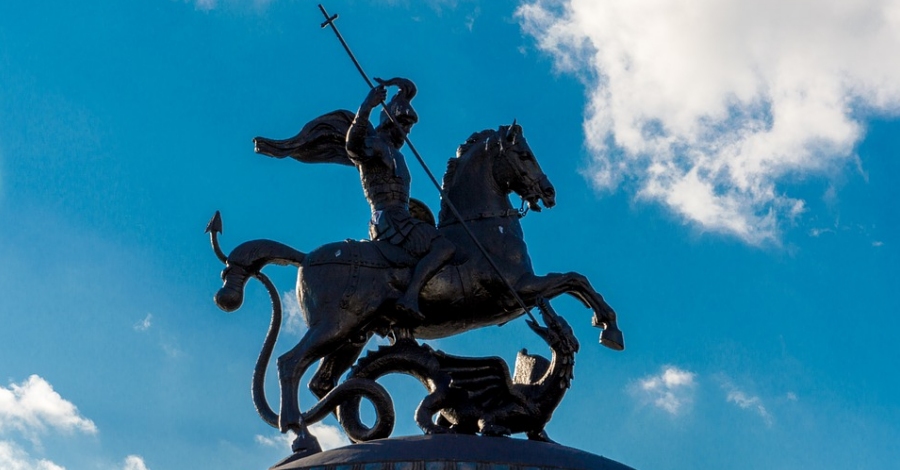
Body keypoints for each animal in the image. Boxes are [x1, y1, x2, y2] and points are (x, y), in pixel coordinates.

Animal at [208, 122, 624, 456]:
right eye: (524, 154)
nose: (549, 192)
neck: (481, 228)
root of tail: (306, 256)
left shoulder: (520, 294)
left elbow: (573, 282)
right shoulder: (516, 292)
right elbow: (573, 279)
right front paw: (609, 328)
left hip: (351, 336)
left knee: (321, 381)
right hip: (333, 326)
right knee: (289, 364)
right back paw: (300, 436)